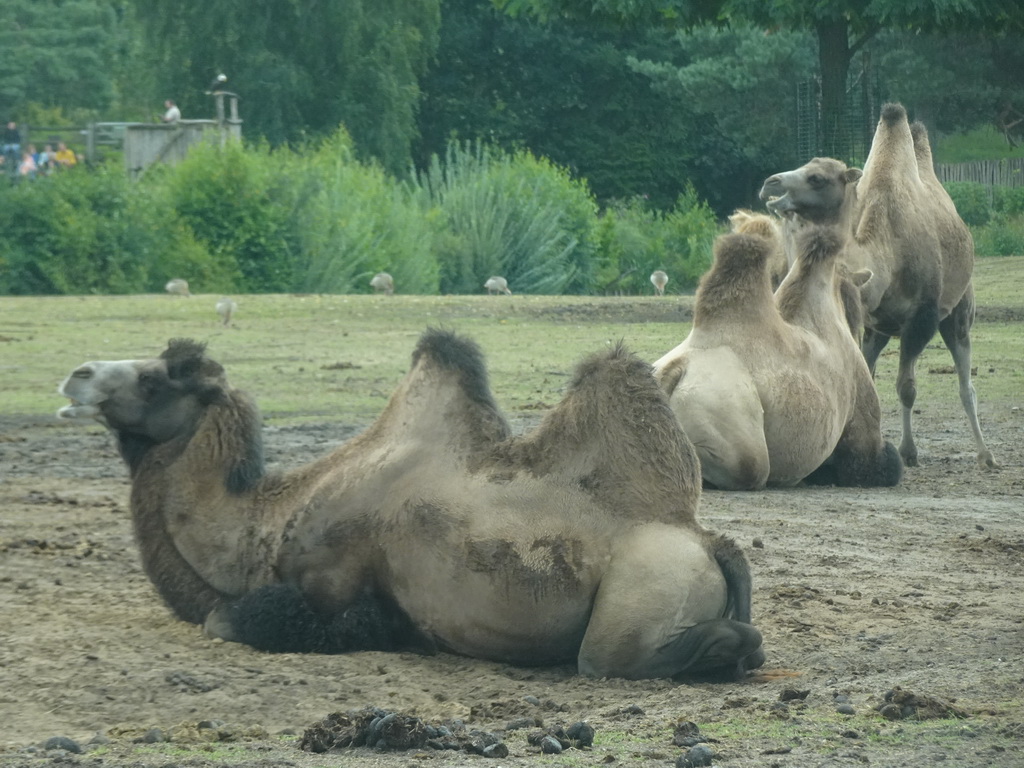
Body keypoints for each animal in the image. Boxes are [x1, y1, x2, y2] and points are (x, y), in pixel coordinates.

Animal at [54, 331, 761, 679]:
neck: (264, 526)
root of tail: (708, 542)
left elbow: (227, 620)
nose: (76, 374)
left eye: (153, 379)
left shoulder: (328, 580)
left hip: (645, 589)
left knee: (615, 658)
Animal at [761, 99, 991, 466]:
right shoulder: (864, 316)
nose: (771, 183)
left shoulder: (922, 317)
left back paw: (986, 454)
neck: (885, 255)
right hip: (879, 330)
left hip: (958, 308)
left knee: (964, 377)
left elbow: (907, 387)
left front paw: (908, 452)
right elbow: (865, 381)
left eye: (817, 177)